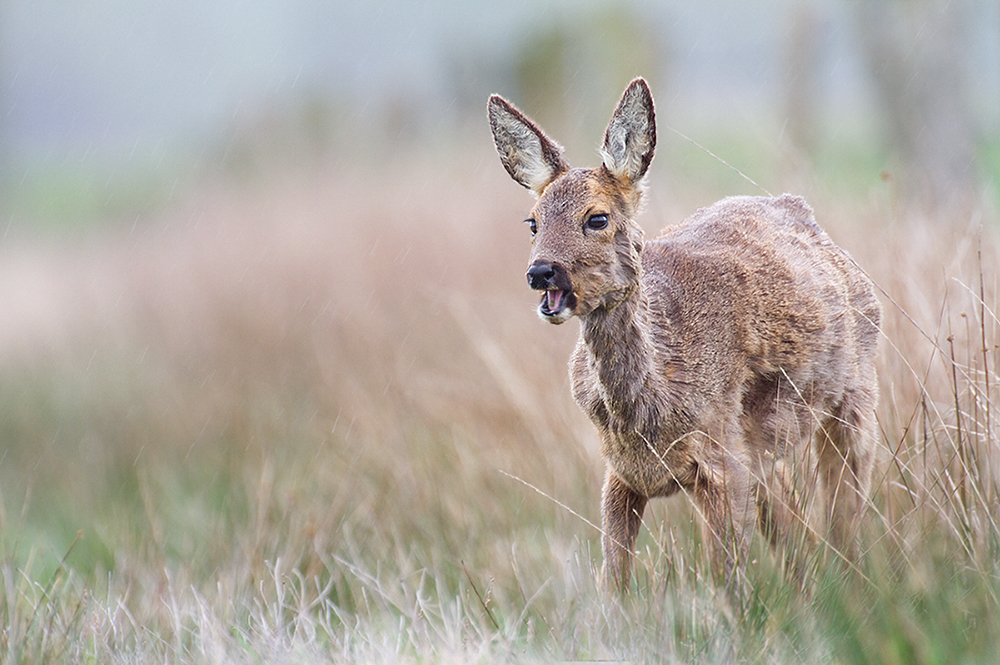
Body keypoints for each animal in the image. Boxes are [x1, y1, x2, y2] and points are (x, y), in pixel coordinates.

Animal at [488, 76, 880, 592]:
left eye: (597, 218)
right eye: (532, 222)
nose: (541, 272)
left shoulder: (721, 460)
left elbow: (728, 585)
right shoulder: (621, 474)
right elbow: (613, 585)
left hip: (856, 395)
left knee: (845, 512)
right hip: (763, 452)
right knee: (796, 526)